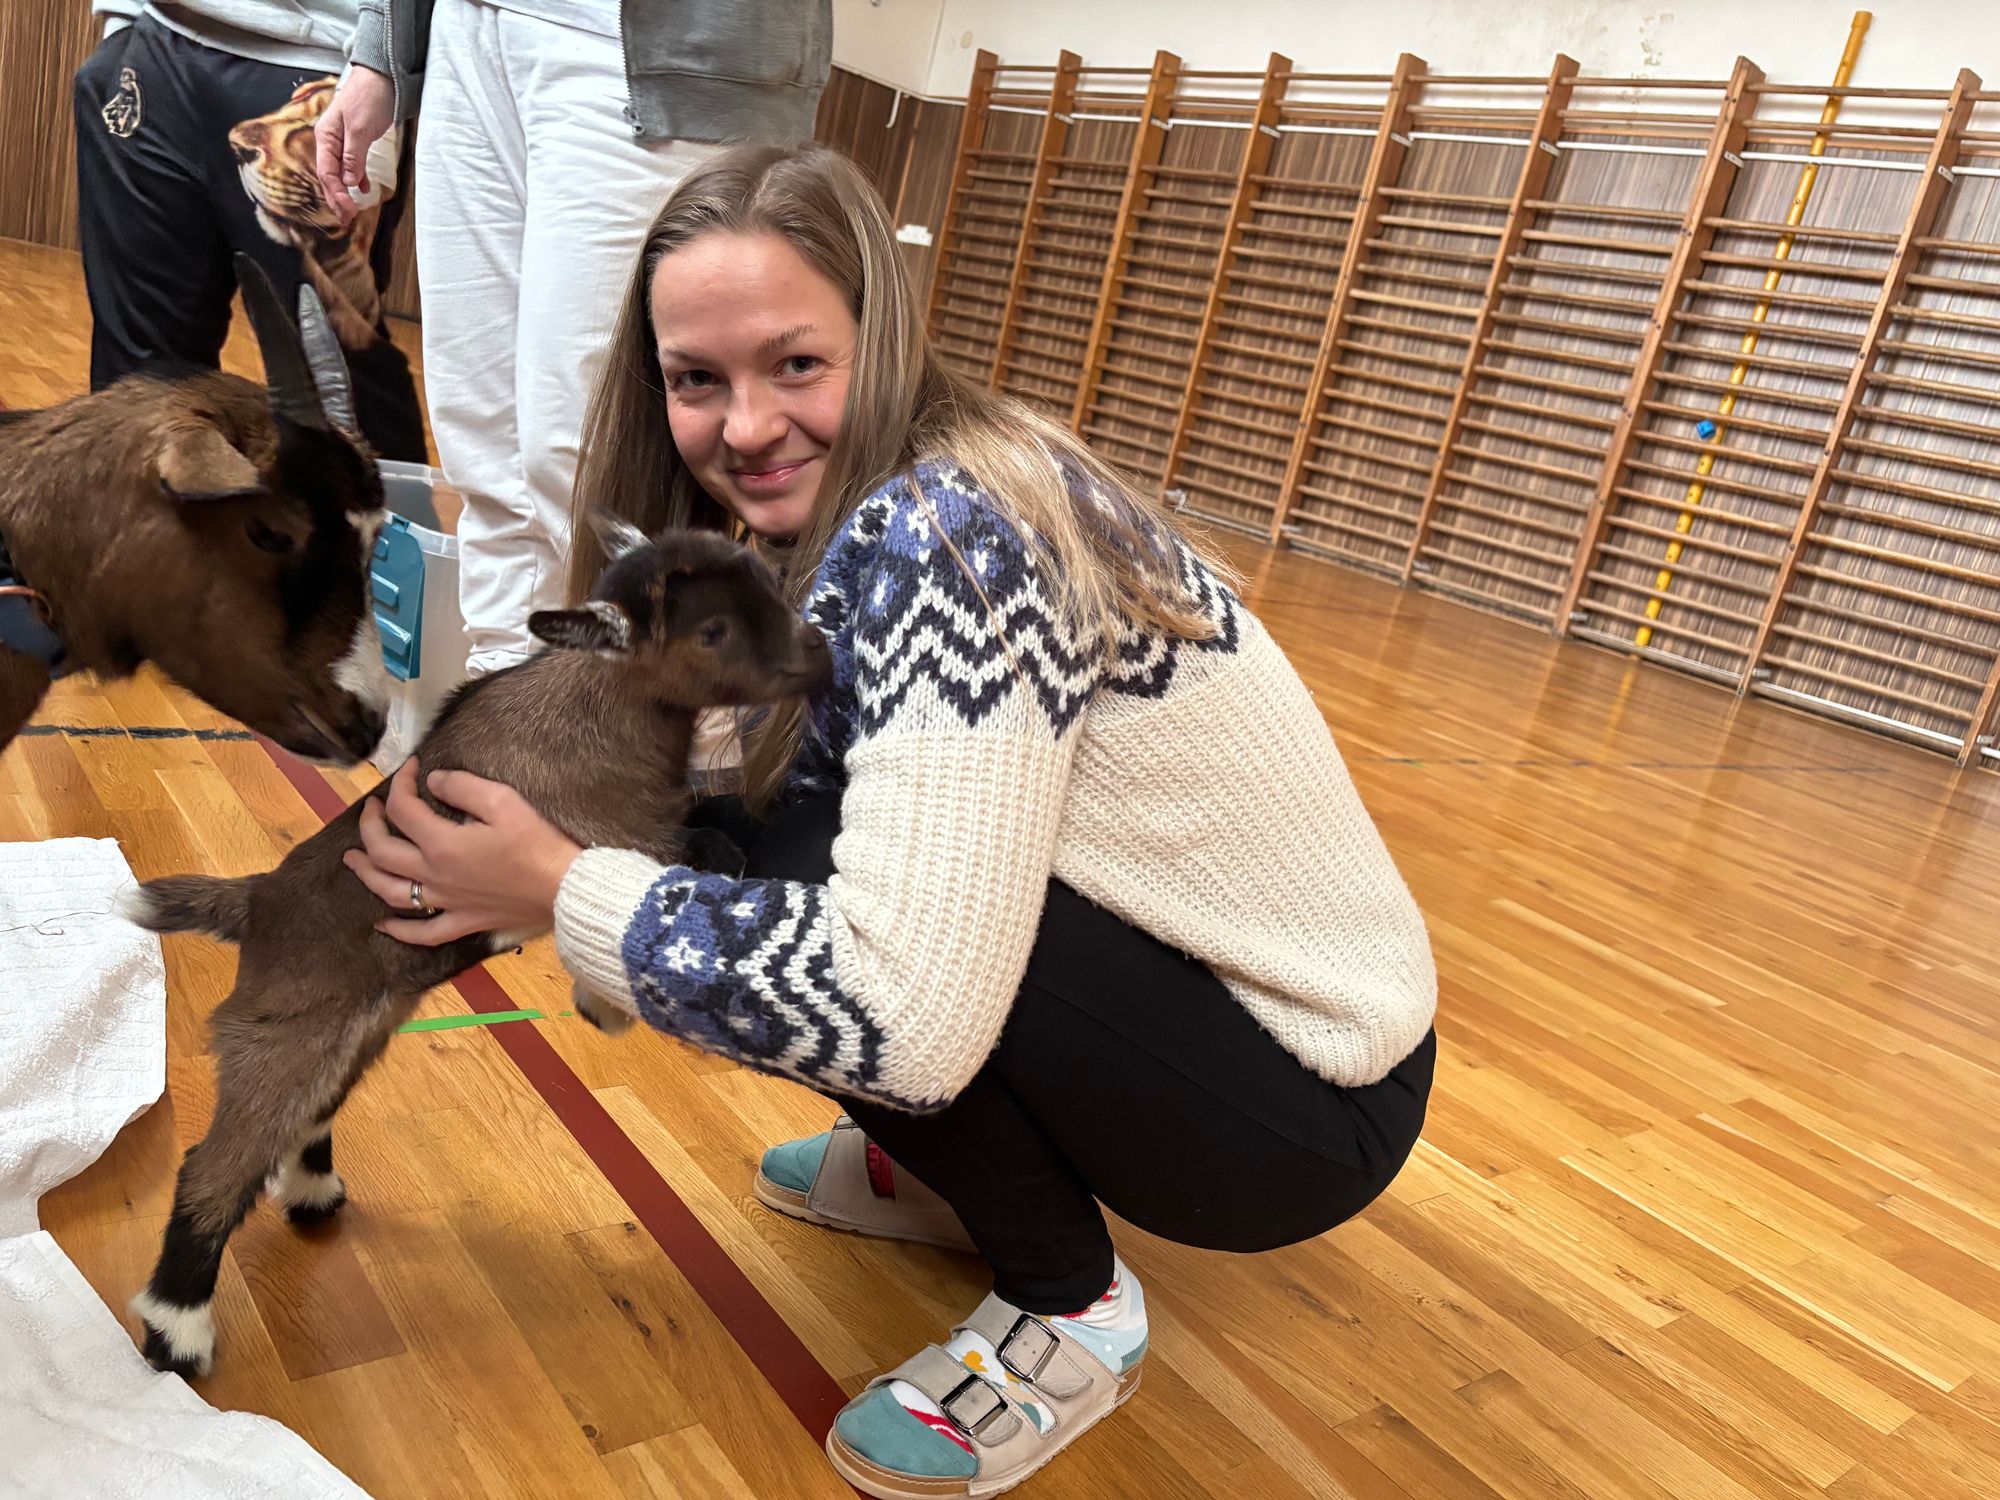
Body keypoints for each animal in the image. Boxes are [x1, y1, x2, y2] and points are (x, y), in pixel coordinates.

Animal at [119, 525, 829, 1377]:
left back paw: (313, 1198)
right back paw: (177, 1336)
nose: (820, 653)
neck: (604, 701)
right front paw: (606, 1003)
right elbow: (700, 856)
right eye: (713, 630)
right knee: (214, 1168)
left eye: (769, 584)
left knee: (305, 1117)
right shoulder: (612, 836)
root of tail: (256, 902)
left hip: (351, 1030)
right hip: (280, 1038)